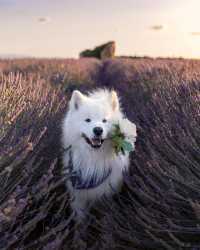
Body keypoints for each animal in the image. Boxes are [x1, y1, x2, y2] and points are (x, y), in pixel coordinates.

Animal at [62, 89, 137, 218]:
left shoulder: (108, 193)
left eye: (104, 120)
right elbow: (80, 217)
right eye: (88, 120)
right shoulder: (78, 196)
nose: (98, 130)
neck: (93, 158)